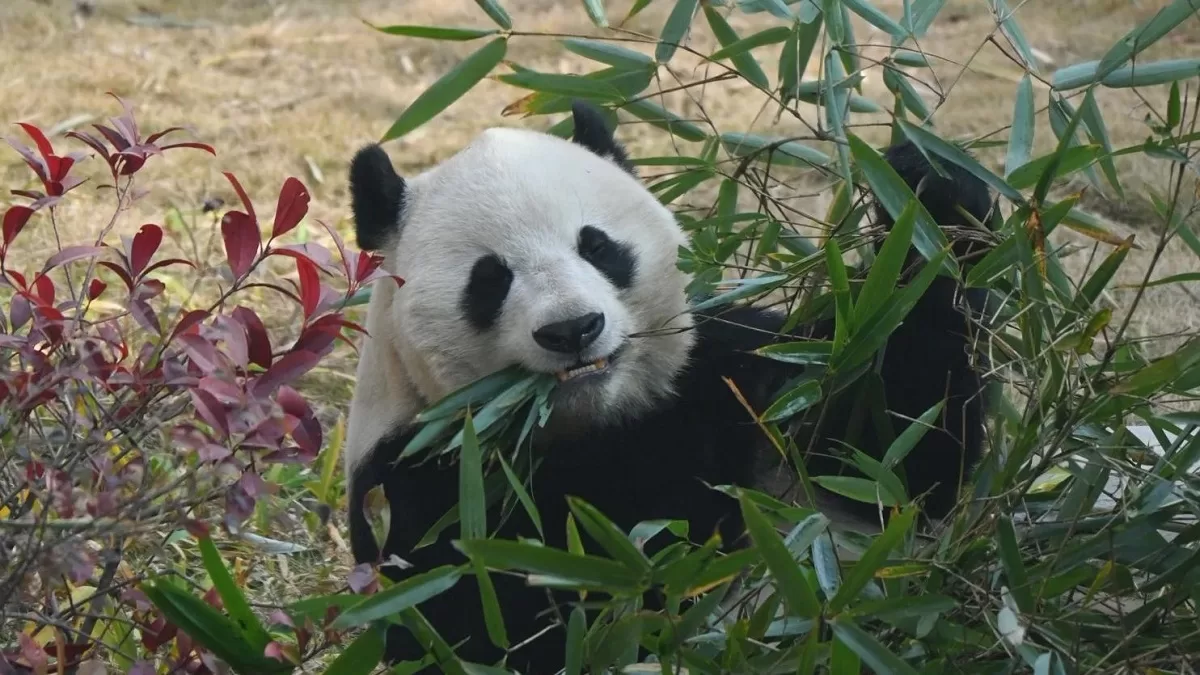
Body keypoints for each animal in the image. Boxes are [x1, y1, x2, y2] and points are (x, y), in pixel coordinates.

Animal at [343, 100, 993, 673]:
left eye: (597, 246)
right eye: (490, 279)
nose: (573, 329)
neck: (599, 420)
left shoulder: (734, 376)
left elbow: (886, 457)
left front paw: (927, 185)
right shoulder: (425, 477)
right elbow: (482, 622)